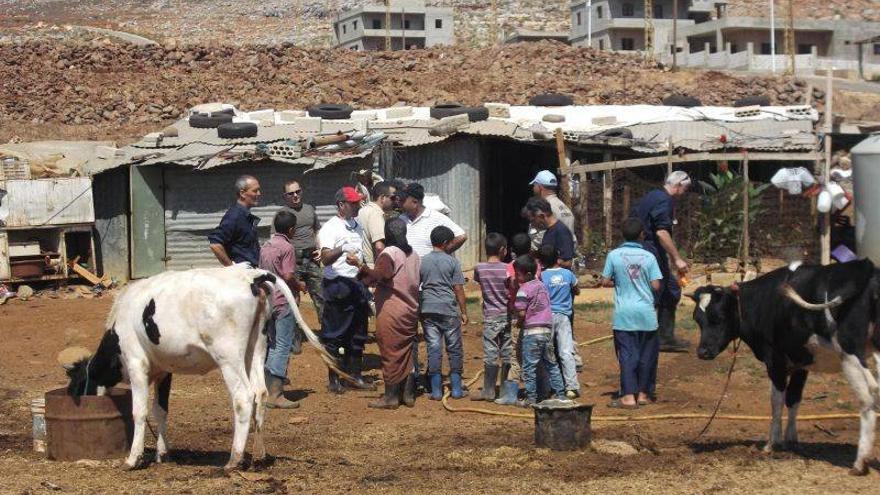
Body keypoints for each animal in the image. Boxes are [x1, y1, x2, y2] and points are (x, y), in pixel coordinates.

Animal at [65, 266, 346, 470]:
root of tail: (249, 275)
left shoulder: (137, 364)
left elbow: (140, 412)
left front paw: (133, 459)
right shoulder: (164, 370)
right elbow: (160, 411)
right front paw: (163, 453)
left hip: (229, 357)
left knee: (243, 398)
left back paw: (234, 459)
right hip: (256, 350)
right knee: (260, 393)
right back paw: (257, 454)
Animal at [696, 260, 880, 476]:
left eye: (718, 317)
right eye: (697, 320)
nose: (702, 352)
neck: (763, 301)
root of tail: (865, 267)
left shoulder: (775, 360)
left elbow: (776, 400)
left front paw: (772, 443)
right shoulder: (801, 361)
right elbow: (793, 398)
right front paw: (791, 440)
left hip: (850, 354)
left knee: (868, 397)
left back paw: (860, 463)